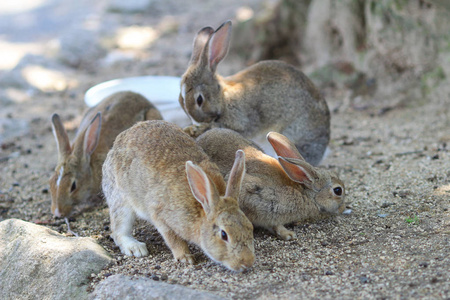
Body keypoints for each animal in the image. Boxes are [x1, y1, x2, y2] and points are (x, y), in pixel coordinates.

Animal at [103, 120, 255, 272]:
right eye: (224, 235)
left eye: (250, 227)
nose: (247, 262)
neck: (203, 209)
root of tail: (115, 145)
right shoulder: (161, 216)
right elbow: (173, 239)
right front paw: (185, 257)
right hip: (121, 201)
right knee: (118, 230)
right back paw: (136, 248)